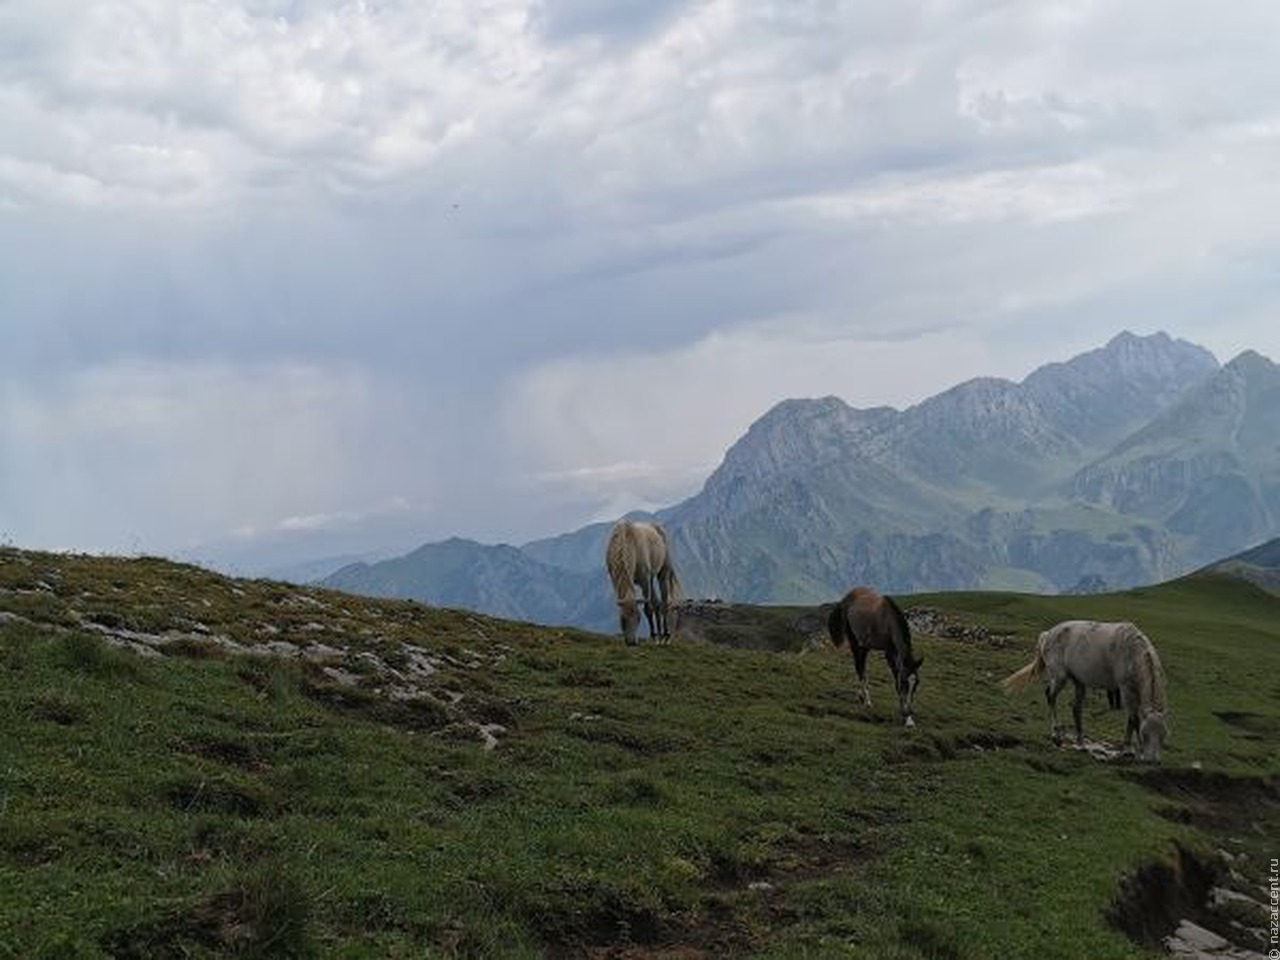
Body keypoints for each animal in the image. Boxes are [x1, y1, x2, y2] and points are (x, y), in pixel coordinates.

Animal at [824, 586, 926, 727]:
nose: (909, 712)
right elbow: (896, 679)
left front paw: (907, 715)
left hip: (865, 645)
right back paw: (867, 700)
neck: (889, 620)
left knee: (862, 667)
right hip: (855, 641)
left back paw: (862, 696)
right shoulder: (889, 652)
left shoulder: (895, 652)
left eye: (916, 684)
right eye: (905, 682)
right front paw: (907, 717)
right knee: (859, 668)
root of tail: (847, 597)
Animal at [998, 624, 1172, 768]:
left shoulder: (1134, 692)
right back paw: (1056, 736)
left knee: (1076, 708)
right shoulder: (1125, 690)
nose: (1153, 761)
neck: (1133, 653)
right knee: (1050, 696)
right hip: (1060, 677)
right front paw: (1130, 750)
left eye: (1163, 735)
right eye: (1145, 734)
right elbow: (1134, 719)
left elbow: (1131, 719)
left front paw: (1130, 750)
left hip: (1079, 682)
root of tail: (1048, 634)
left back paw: (1081, 743)